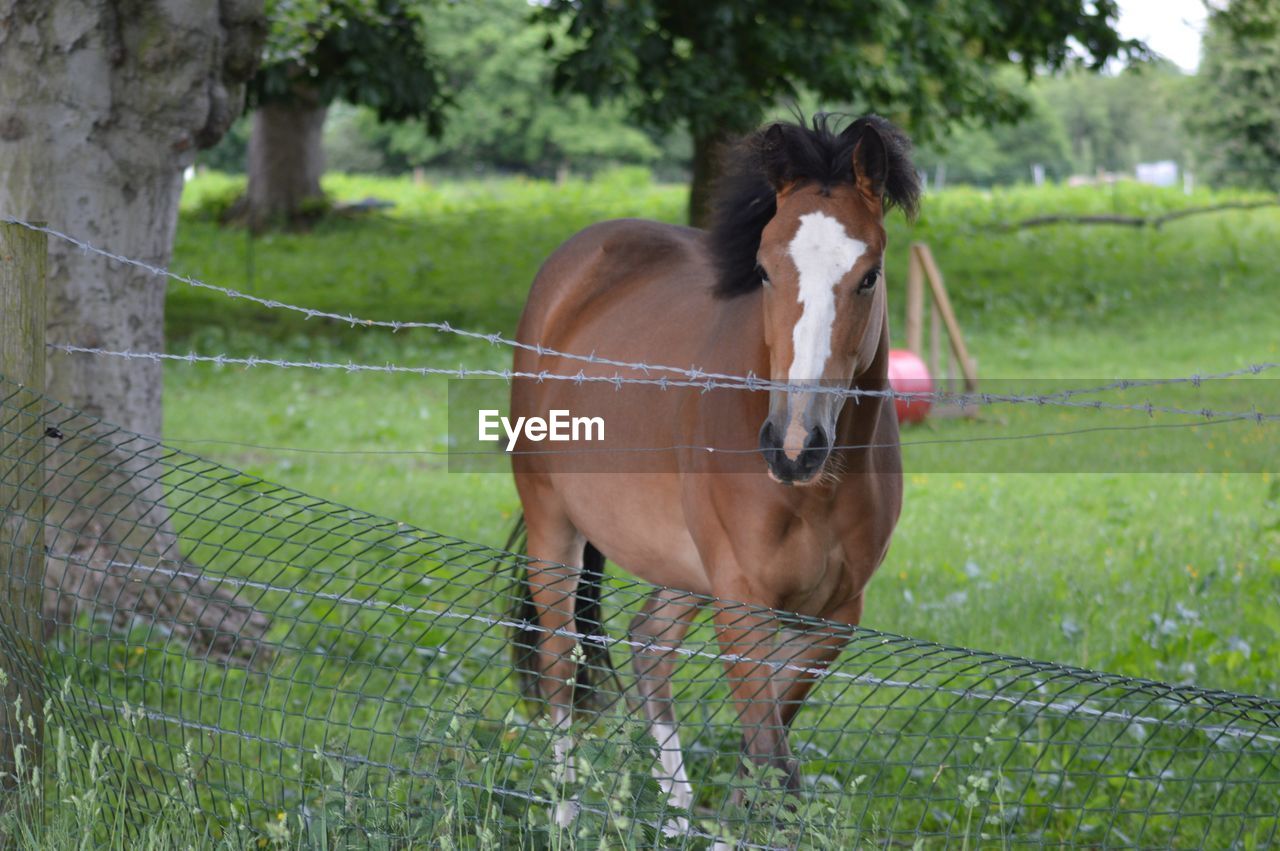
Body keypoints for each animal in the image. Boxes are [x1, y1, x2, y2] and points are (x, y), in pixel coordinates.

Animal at [504, 112, 916, 824]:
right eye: (765, 269)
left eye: (869, 275)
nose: (794, 445)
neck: (814, 491)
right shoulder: (743, 606)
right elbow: (771, 758)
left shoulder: (830, 619)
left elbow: (765, 756)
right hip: (553, 526)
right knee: (558, 665)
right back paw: (565, 817)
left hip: (684, 568)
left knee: (649, 645)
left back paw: (675, 817)